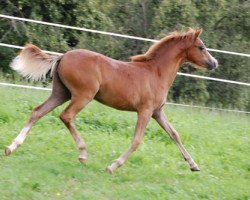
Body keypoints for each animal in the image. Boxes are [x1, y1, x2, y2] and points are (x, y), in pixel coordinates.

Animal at [5, 28, 217, 173]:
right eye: (201, 47)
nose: (214, 63)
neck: (155, 72)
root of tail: (63, 55)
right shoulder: (145, 111)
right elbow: (137, 141)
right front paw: (112, 166)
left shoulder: (157, 112)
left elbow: (174, 134)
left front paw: (194, 165)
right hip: (83, 95)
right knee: (66, 116)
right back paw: (83, 154)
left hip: (60, 93)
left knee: (37, 112)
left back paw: (11, 147)